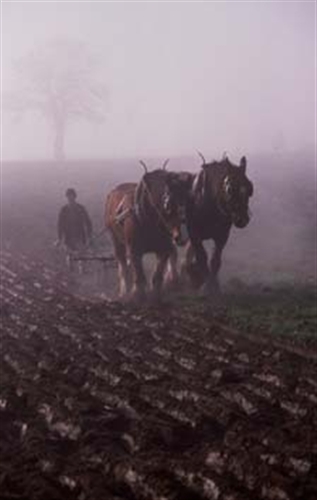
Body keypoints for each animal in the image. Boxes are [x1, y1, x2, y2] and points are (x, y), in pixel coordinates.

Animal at [105, 161, 190, 300]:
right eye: (168, 205)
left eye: (189, 200)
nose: (183, 235)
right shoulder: (134, 249)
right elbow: (138, 274)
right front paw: (137, 294)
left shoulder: (164, 247)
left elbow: (158, 274)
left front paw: (156, 294)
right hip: (116, 240)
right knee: (122, 265)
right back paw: (124, 291)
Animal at [178, 152, 254, 292]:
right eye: (230, 189)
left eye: (250, 187)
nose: (242, 219)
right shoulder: (194, 235)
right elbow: (202, 258)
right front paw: (207, 287)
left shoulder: (222, 236)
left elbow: (215, 260)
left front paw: (213, 285)